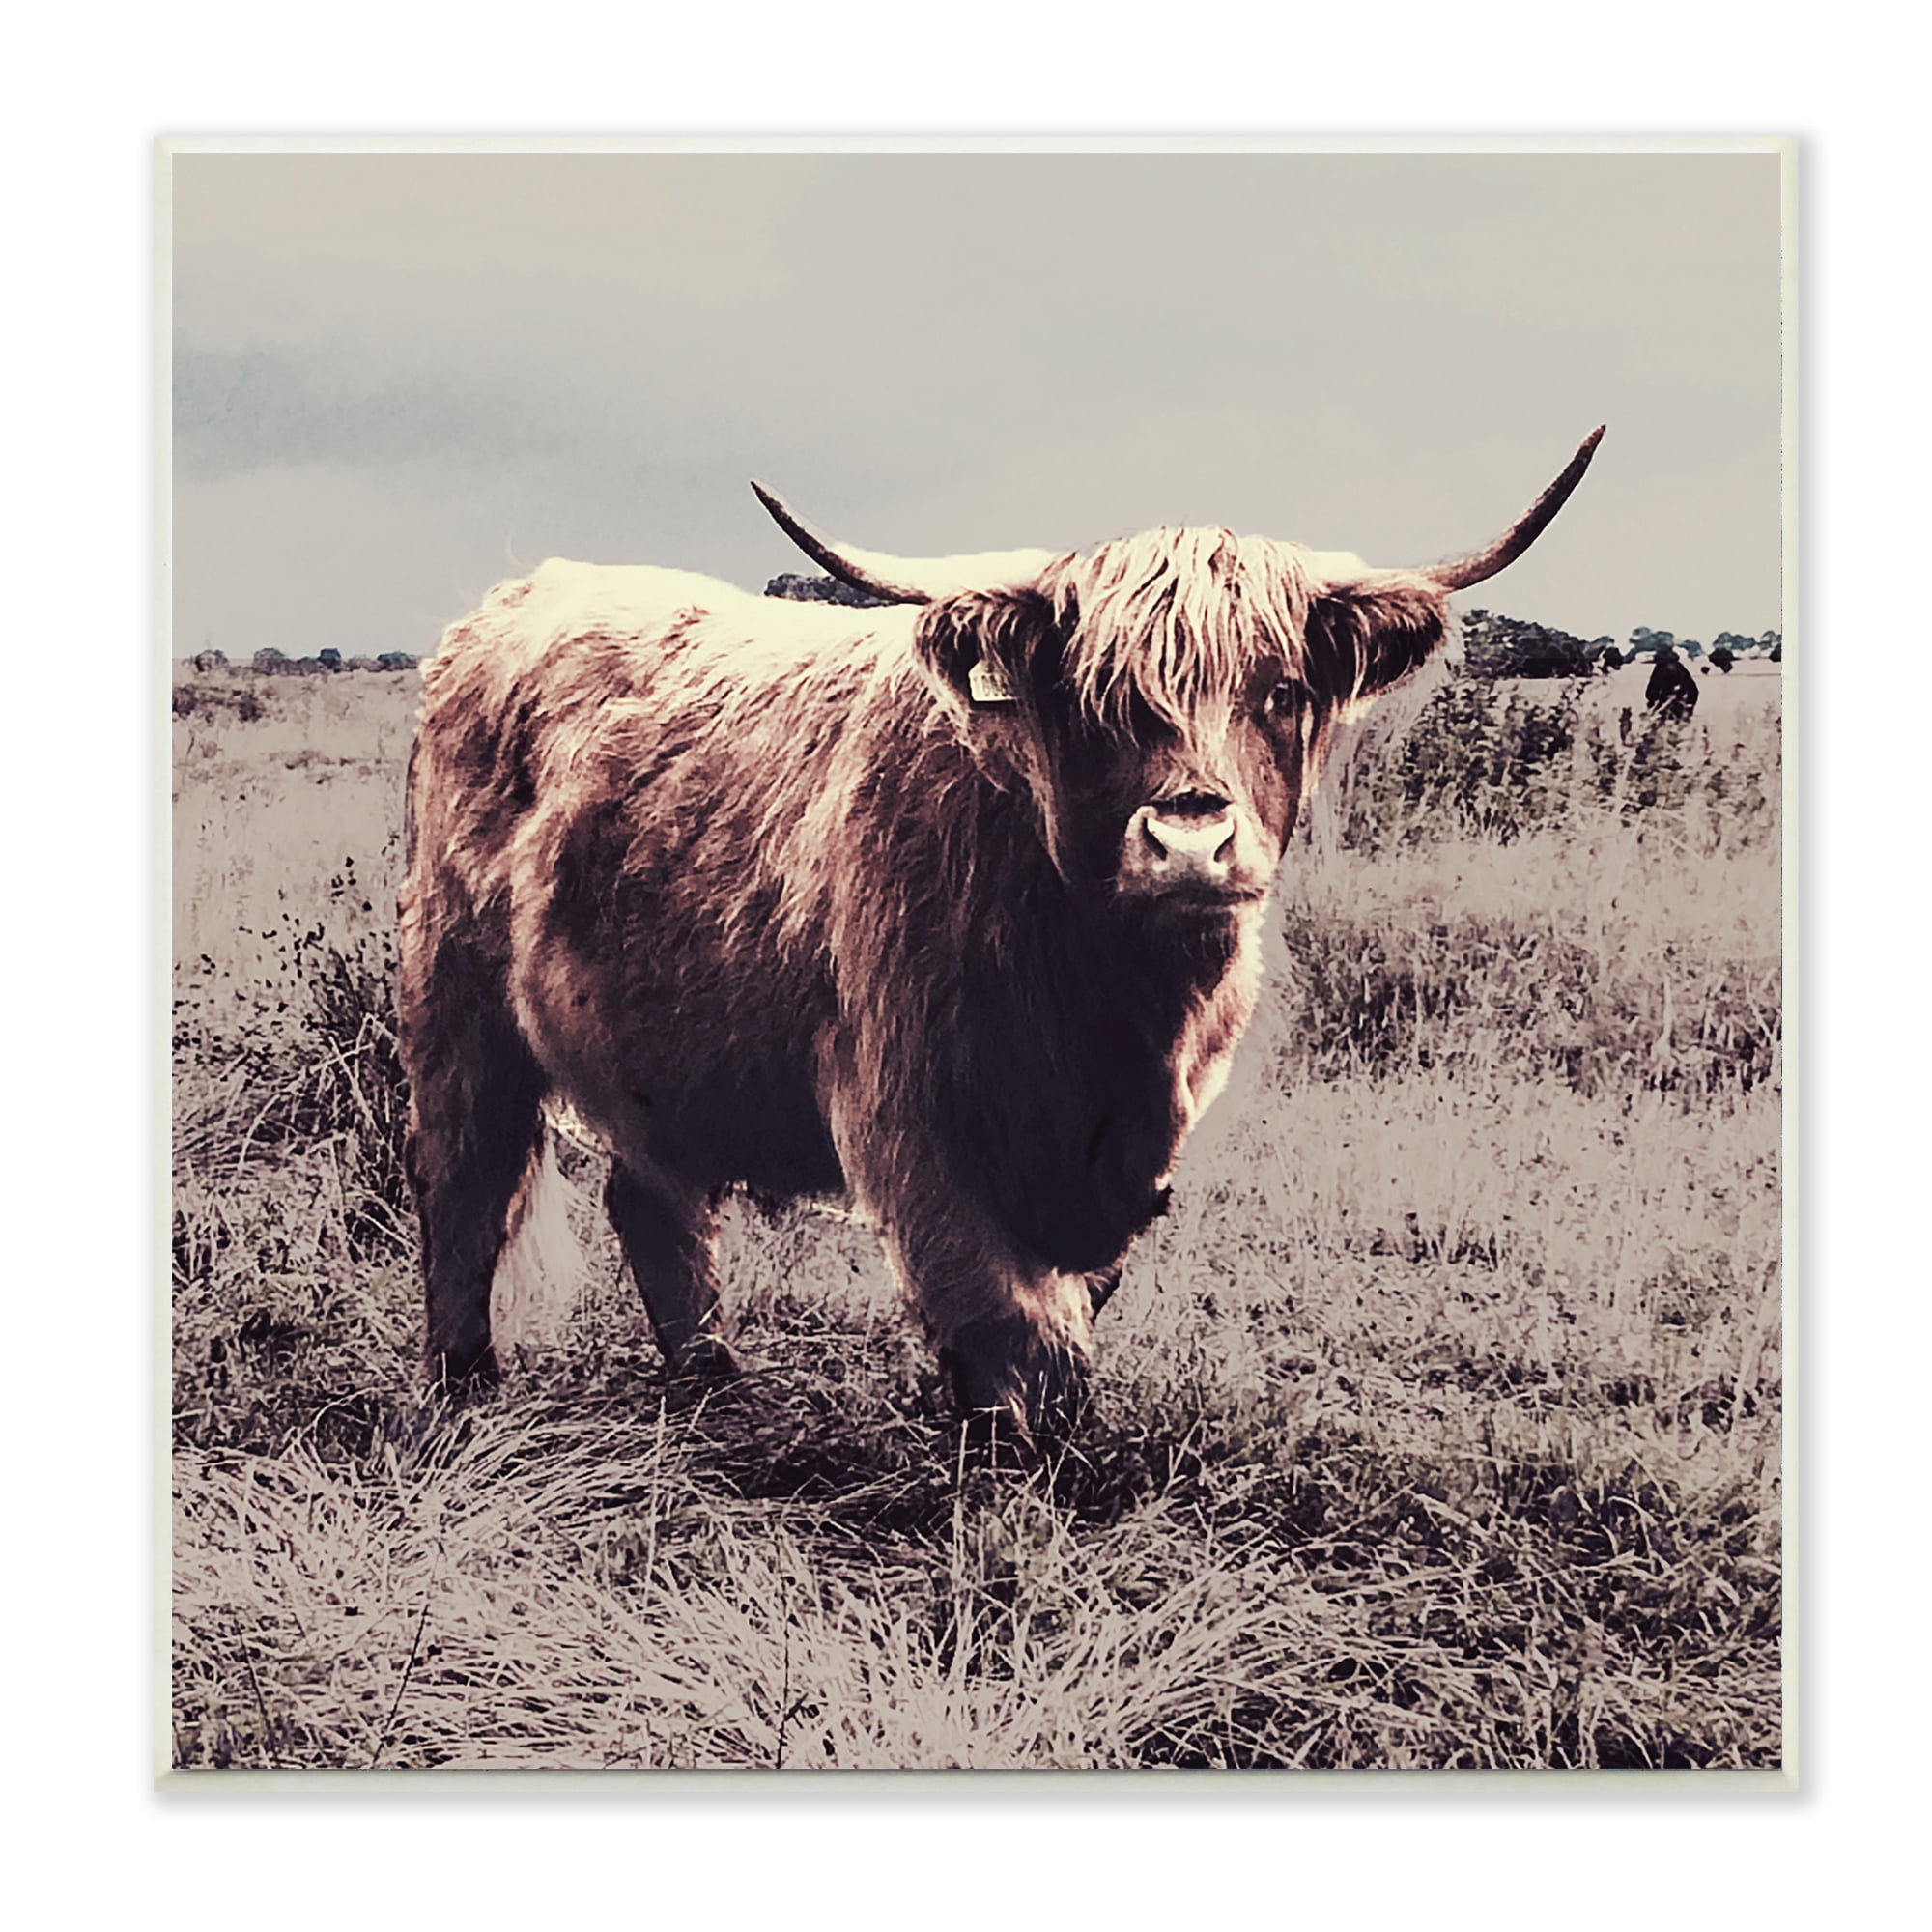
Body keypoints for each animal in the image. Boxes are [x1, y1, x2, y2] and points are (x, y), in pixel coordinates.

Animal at [399, 428, 1603, 1455]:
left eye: (1279, 690)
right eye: (1100, 700)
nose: (1189, 841)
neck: (1108, 1006)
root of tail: (518, 595)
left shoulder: (1132, 1148)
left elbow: (1070, 1299)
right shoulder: (908, 1110)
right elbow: (1001, 1311)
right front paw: (1008, 1460)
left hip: (658, 1042)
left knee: (652, 1197)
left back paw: (712, 1384)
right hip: (455, 999)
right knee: (464, 1177)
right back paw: (465, 1385)